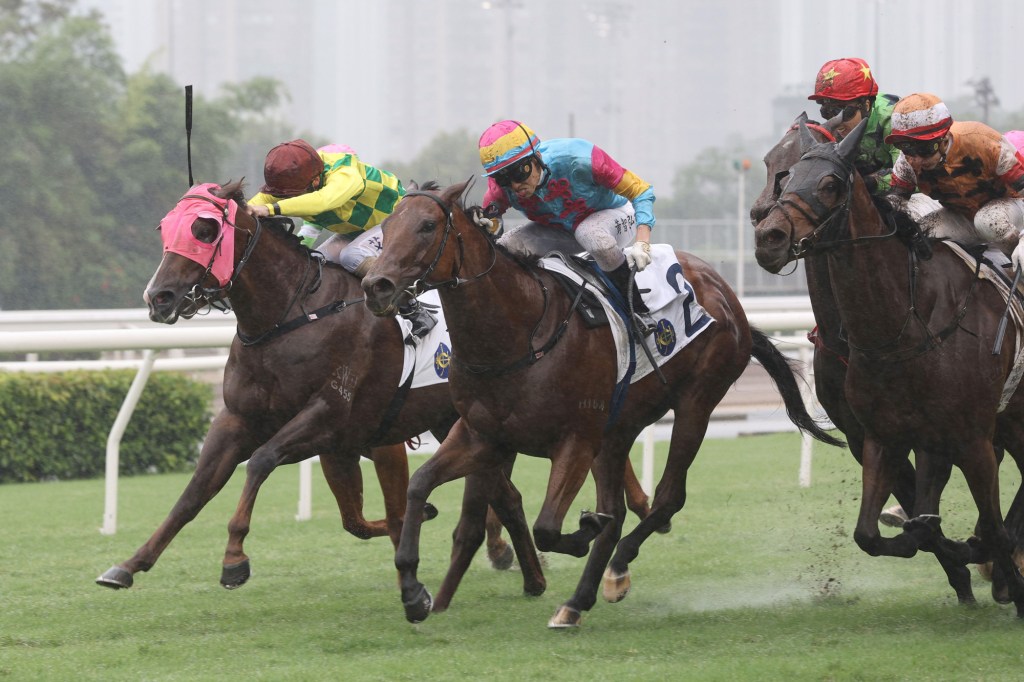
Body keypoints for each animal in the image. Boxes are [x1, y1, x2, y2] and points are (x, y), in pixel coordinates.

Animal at [95, 180, 544, 593]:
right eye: (164, 228)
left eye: (204, 230)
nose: (159, 297)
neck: (288, 318)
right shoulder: (244, 421)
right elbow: (195, 492)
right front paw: (129, 564)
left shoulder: (328, 416)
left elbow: (261, 461)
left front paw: (234, 557)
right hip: (452, 422)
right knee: (502, 493)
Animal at [361, 179, 843, 627]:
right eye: (386, 226)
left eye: (427, 226)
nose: (375, 285)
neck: (518, 336)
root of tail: (726, 293)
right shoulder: (482, 436)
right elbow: (419, 484)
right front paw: (414, 592)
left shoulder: (575, 440)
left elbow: (549, 527)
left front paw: (583, 530)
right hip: (616, 433)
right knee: (622, 506)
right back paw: (577, 602)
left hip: (696, 402)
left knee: (667, 497)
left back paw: (613, 570)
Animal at [752, 120, 1024, 615]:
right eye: (781, 172)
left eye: (830, 183)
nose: (768, 234)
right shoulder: (879, 435)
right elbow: (883, 528)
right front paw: (953, 557)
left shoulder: (969, 435)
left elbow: (981, 525)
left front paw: (995, 572)